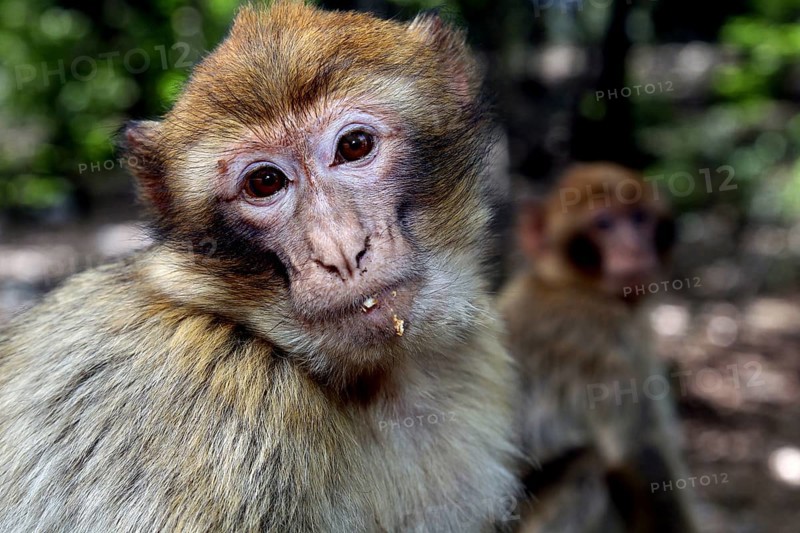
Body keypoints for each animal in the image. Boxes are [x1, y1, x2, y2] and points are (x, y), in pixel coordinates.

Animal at [498, 162, 697, 532]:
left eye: (638, 218)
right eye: (604, 224)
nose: (634, 247)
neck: (568, 285)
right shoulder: (605, 337)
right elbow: (635, 456)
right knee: (586, 467)